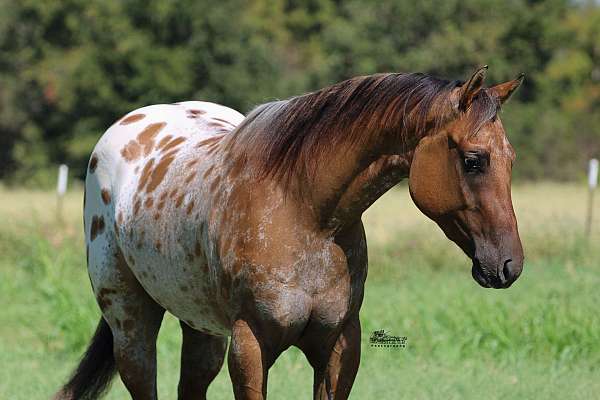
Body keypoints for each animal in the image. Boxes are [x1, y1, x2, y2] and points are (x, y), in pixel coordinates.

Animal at [56, 67, 524, 398]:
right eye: (474, 160)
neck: (306, 214)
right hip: (131, 319)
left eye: (511, 159)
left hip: (201, 325)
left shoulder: (339, 346)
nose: (508, 266)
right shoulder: (250, 346)